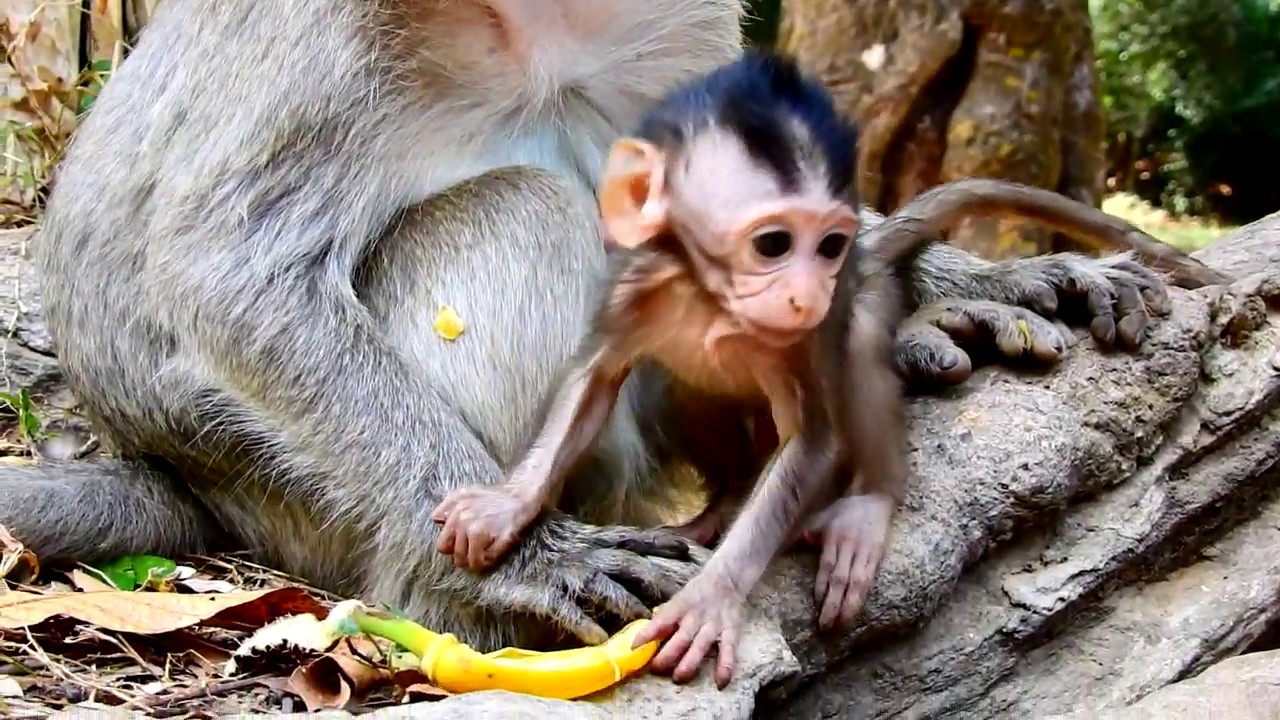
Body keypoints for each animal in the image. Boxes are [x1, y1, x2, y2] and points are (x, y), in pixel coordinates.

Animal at [0, 0, 1217, 664]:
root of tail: (185, 476)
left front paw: (982, 279)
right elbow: (226, 272)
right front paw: (523, 563)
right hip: (300, 497)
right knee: (525, 213)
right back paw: (462, 589)